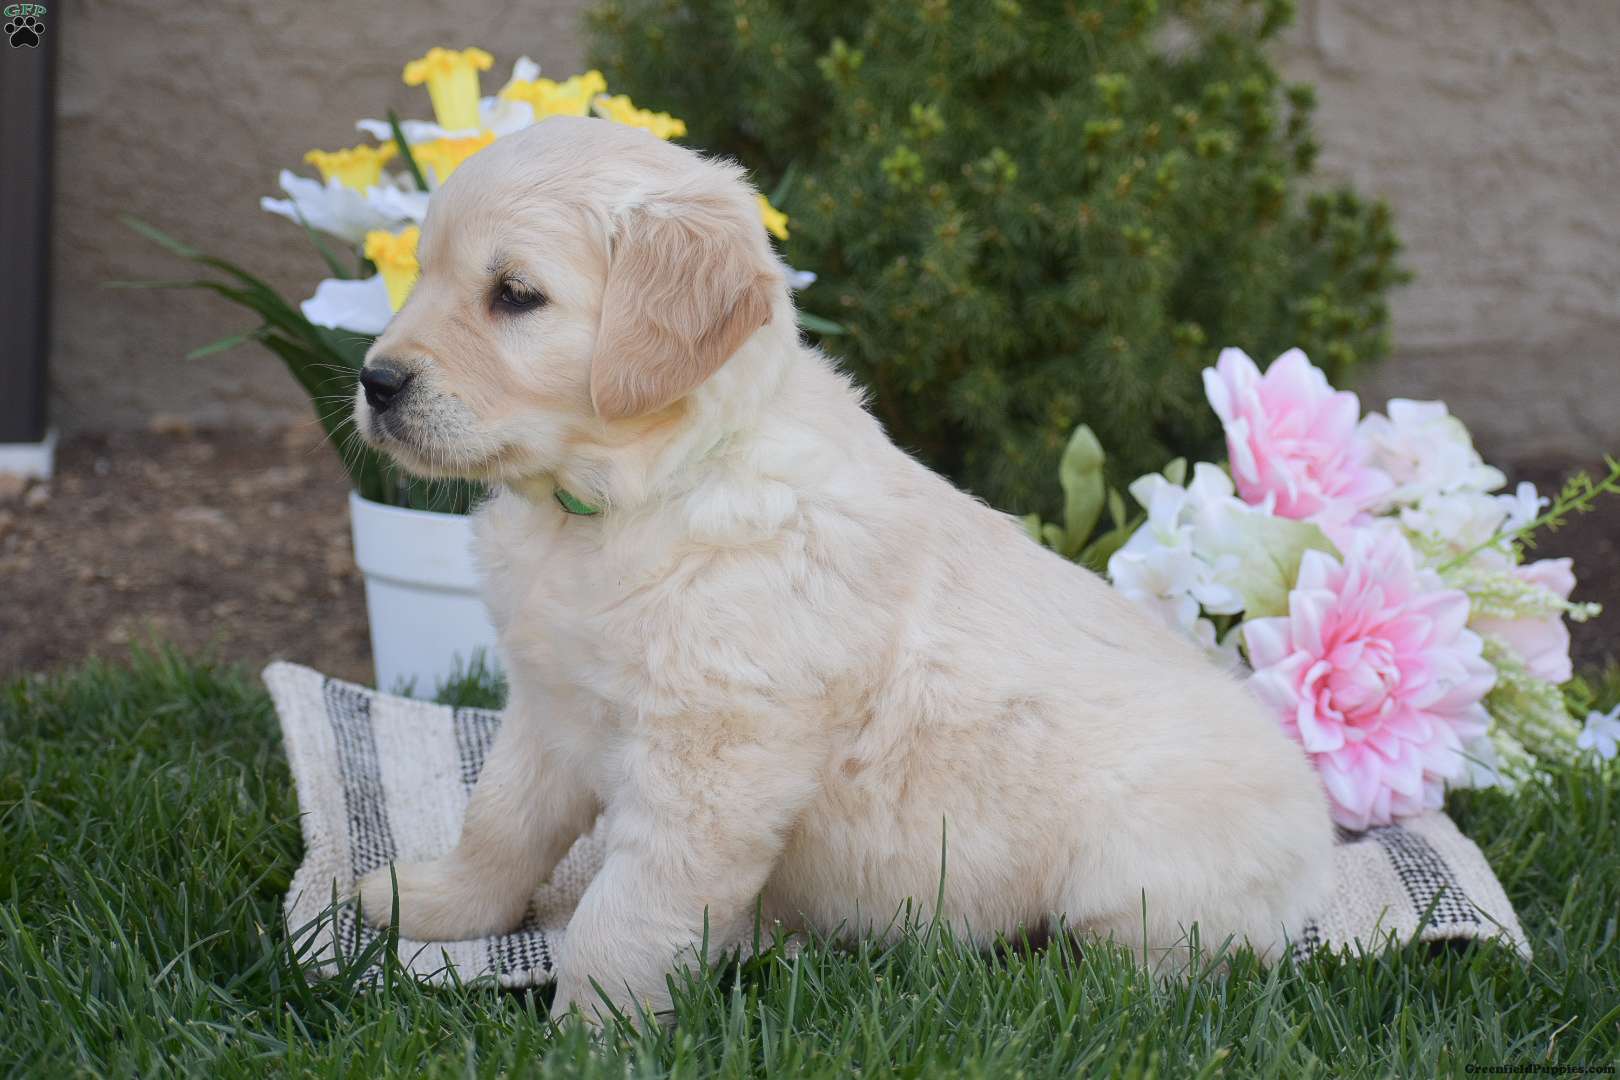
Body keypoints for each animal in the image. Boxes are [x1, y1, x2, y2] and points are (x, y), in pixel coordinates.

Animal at [353, 117, 1335, 1023]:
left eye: (515, 295)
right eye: (423, 275)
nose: (376, 381)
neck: (639, 494)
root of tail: (1319, 822)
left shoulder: (712, 767)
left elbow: (621, 916)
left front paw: (590, 1035)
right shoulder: (548, 703)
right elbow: (499, 820)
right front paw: (434, 905)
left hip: (1143, 871)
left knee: (1161, 969)